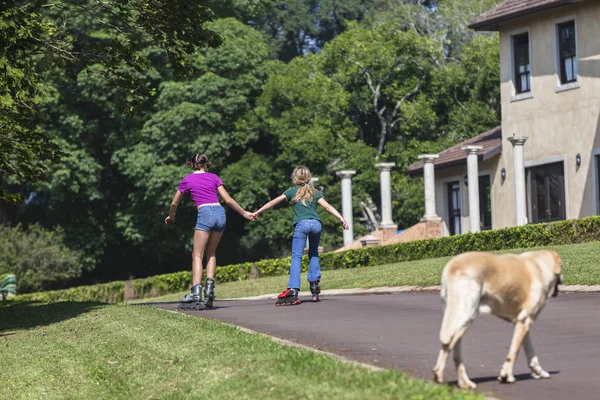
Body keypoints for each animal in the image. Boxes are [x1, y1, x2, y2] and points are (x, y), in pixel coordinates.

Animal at [432, 250, 564, 388]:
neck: (540, 265)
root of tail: (452, 266)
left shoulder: (522, 323)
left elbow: (531, 353)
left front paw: (539, 372)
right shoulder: (524, 321)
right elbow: (514, 352)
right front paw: (506, 376)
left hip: (458, 318)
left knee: (455, 352)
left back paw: (464, 382)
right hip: (467, 314)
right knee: (448, 343)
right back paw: (439, 375)